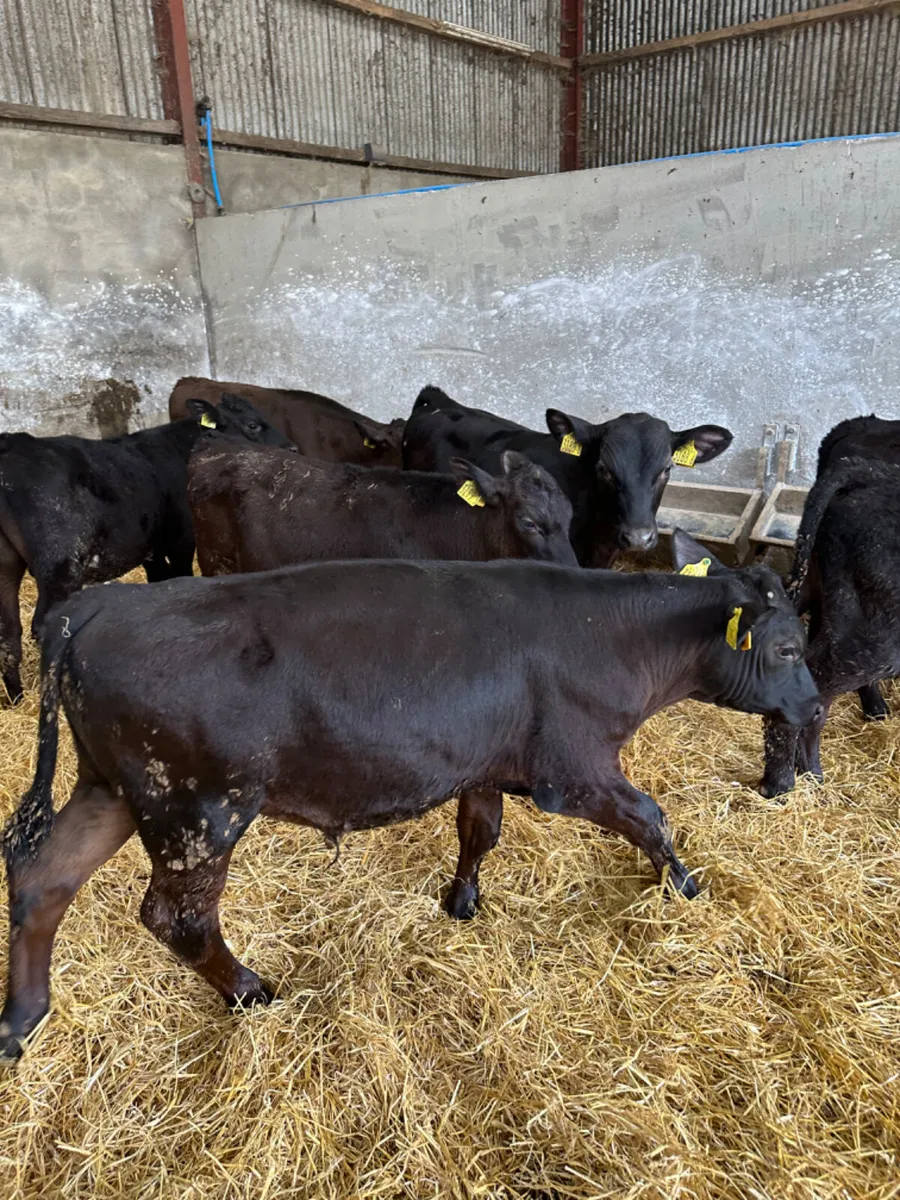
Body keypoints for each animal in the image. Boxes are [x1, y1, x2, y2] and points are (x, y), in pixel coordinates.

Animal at [0, 394, 292, 705]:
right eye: (252, 425)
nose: (292, 448)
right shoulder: (181, 539)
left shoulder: (151, 548)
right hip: (60, 565)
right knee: (42, 626)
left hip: (8, 567)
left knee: (9, 635)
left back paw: (16, 699)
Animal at [0, 530, 820, 1059]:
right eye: (787, 648)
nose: (813, 706)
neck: (611, 634)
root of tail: (98, 607)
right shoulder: (575, 768)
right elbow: (652, 818)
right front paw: (685, 887)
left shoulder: (486, 764)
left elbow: (479, 830)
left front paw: (462, 901)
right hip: (200, 810)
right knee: (177, 918)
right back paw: (249, 990)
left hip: (115, 788)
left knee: (43, 879)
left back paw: (22, 1019)